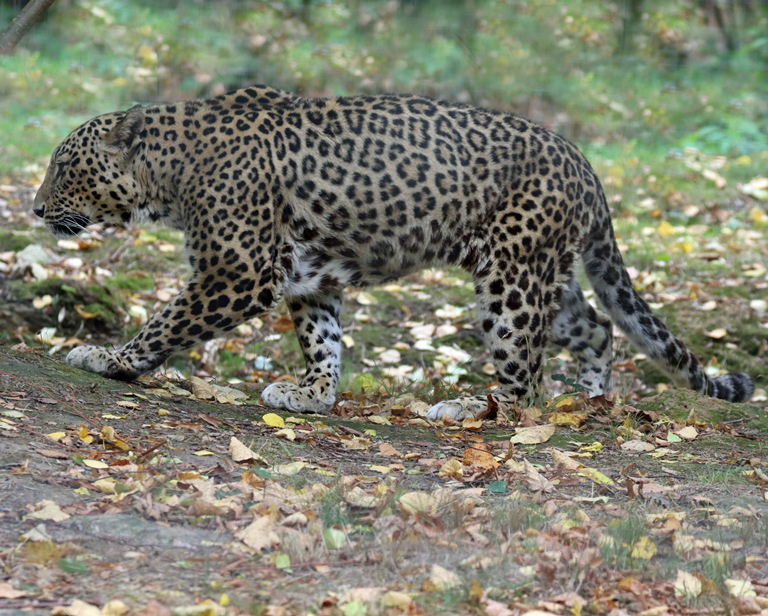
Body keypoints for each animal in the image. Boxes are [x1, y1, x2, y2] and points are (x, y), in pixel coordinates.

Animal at [33, 84, 754, 420]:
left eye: (64, 166)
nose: (35, 209)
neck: (170, 173)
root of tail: (587, 166)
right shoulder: (307, 274)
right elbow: (322, 339)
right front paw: (314, 395)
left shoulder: (237, 271)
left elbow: (166, 321)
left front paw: (111, 359)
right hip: (542, 268)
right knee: (597, 327)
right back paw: (594, 398)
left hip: (510, 278)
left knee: (526, 375)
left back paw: (477, 409)